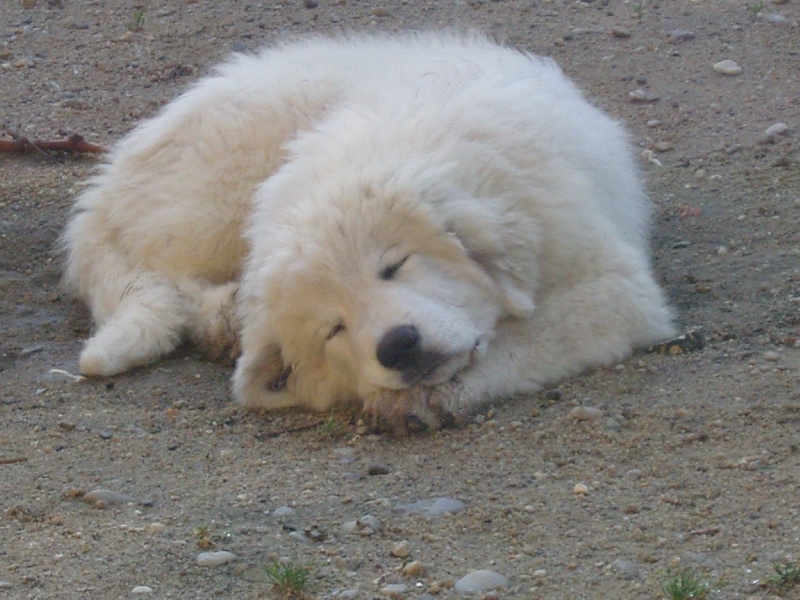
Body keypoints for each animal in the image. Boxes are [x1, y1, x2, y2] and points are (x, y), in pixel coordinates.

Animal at [64, 31, 676, 432]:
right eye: (335, 328)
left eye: (394, 266)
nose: (398, 345)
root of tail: (105, 184)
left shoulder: (615, 290)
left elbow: (525, 338)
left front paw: (428, 397)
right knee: (165, 271)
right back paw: (223, 316)